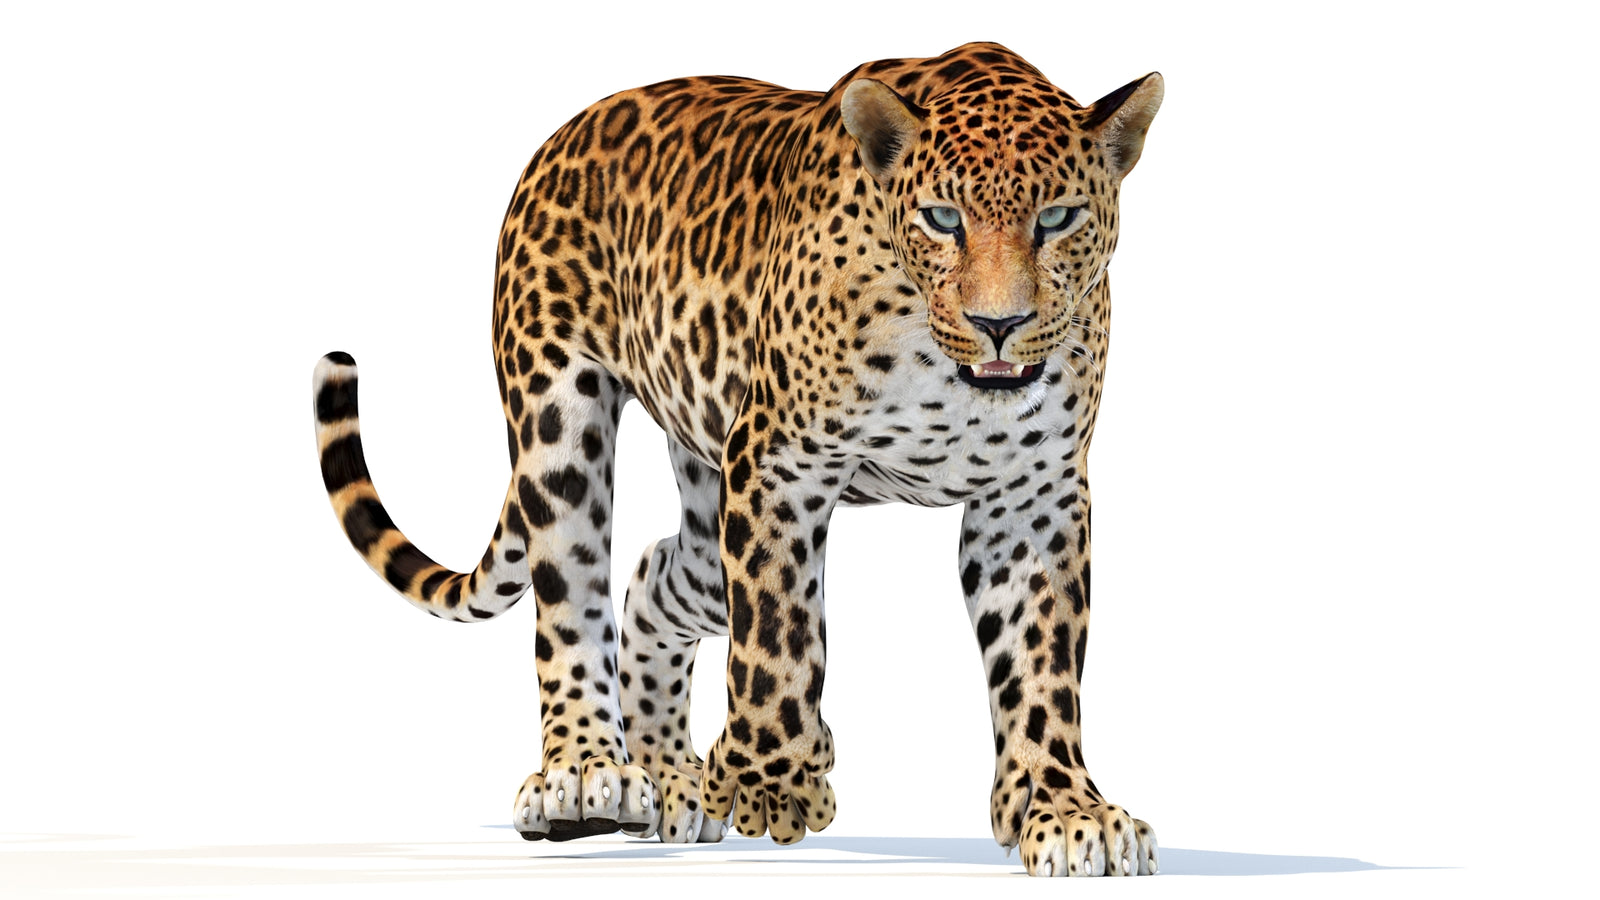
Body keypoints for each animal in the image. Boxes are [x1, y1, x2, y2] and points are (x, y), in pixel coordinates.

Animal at [311, 41, 1162, 877]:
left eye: (1058, 218)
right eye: (942, 219)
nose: (999, 324)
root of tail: (562, 137)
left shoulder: (1033, 495)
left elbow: (1042, 660)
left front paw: (1065, 810)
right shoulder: (779, 460)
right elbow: (777, 632)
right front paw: (771, 783)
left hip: (705, 494)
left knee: (655, 574)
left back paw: (670, 777)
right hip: (559, 421)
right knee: (574, 599)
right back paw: (586, 774)